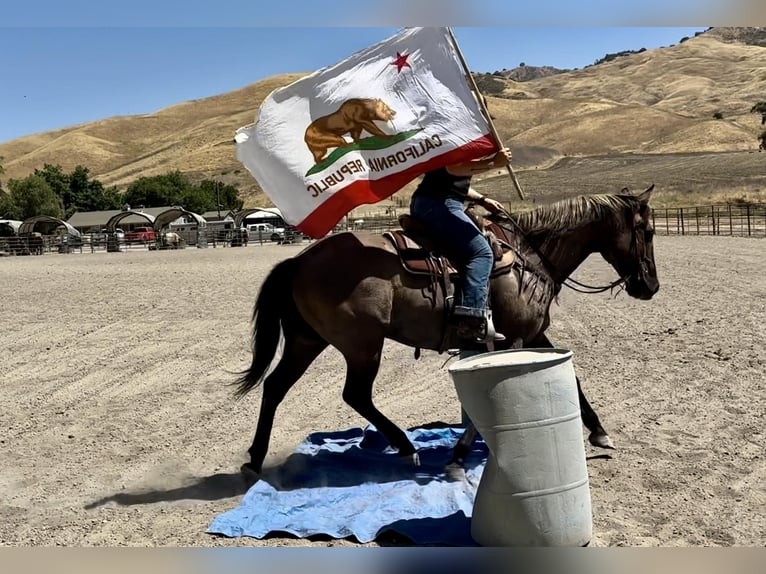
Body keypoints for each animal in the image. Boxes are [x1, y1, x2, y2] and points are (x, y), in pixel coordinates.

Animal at [234, 186, 660, 476]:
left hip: (308, 341)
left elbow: (572, 380)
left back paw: (255, 458)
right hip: (362, 345)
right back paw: (405, 447)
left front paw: (600, 432)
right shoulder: (516, 339)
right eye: (649, 232)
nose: (650, 286)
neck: (529, 257)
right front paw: (457, 456)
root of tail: (300, 260)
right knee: (355, 394)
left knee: (275, 387)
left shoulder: (532, 335)